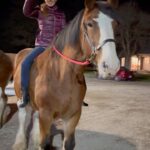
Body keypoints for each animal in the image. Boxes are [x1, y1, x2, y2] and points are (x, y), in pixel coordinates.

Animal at [12, 0, 119, 149]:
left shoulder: (73, 116)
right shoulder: (46, 114)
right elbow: (43, 143)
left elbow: (68, 143)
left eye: (115, 24)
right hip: (22, 101)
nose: (111, 66)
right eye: (89, 24)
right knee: (23, 118)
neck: (61, 75)